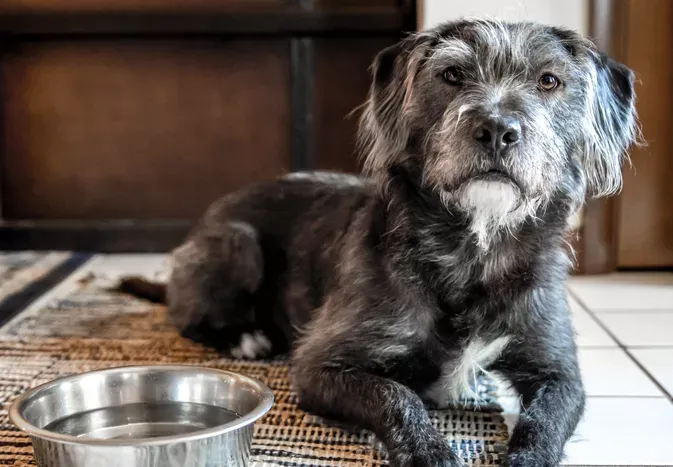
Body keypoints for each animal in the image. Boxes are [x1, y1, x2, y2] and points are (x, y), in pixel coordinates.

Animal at [118, 19, 636, 467]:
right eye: (452, 74)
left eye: (549, 81)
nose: (496, 130)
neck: (474, 247)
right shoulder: (318, 367)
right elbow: (396, 394)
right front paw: (430, 452)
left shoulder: (558, 372)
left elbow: (544, 423)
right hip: (236, 244)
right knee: (188, 317)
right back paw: (243, 337)